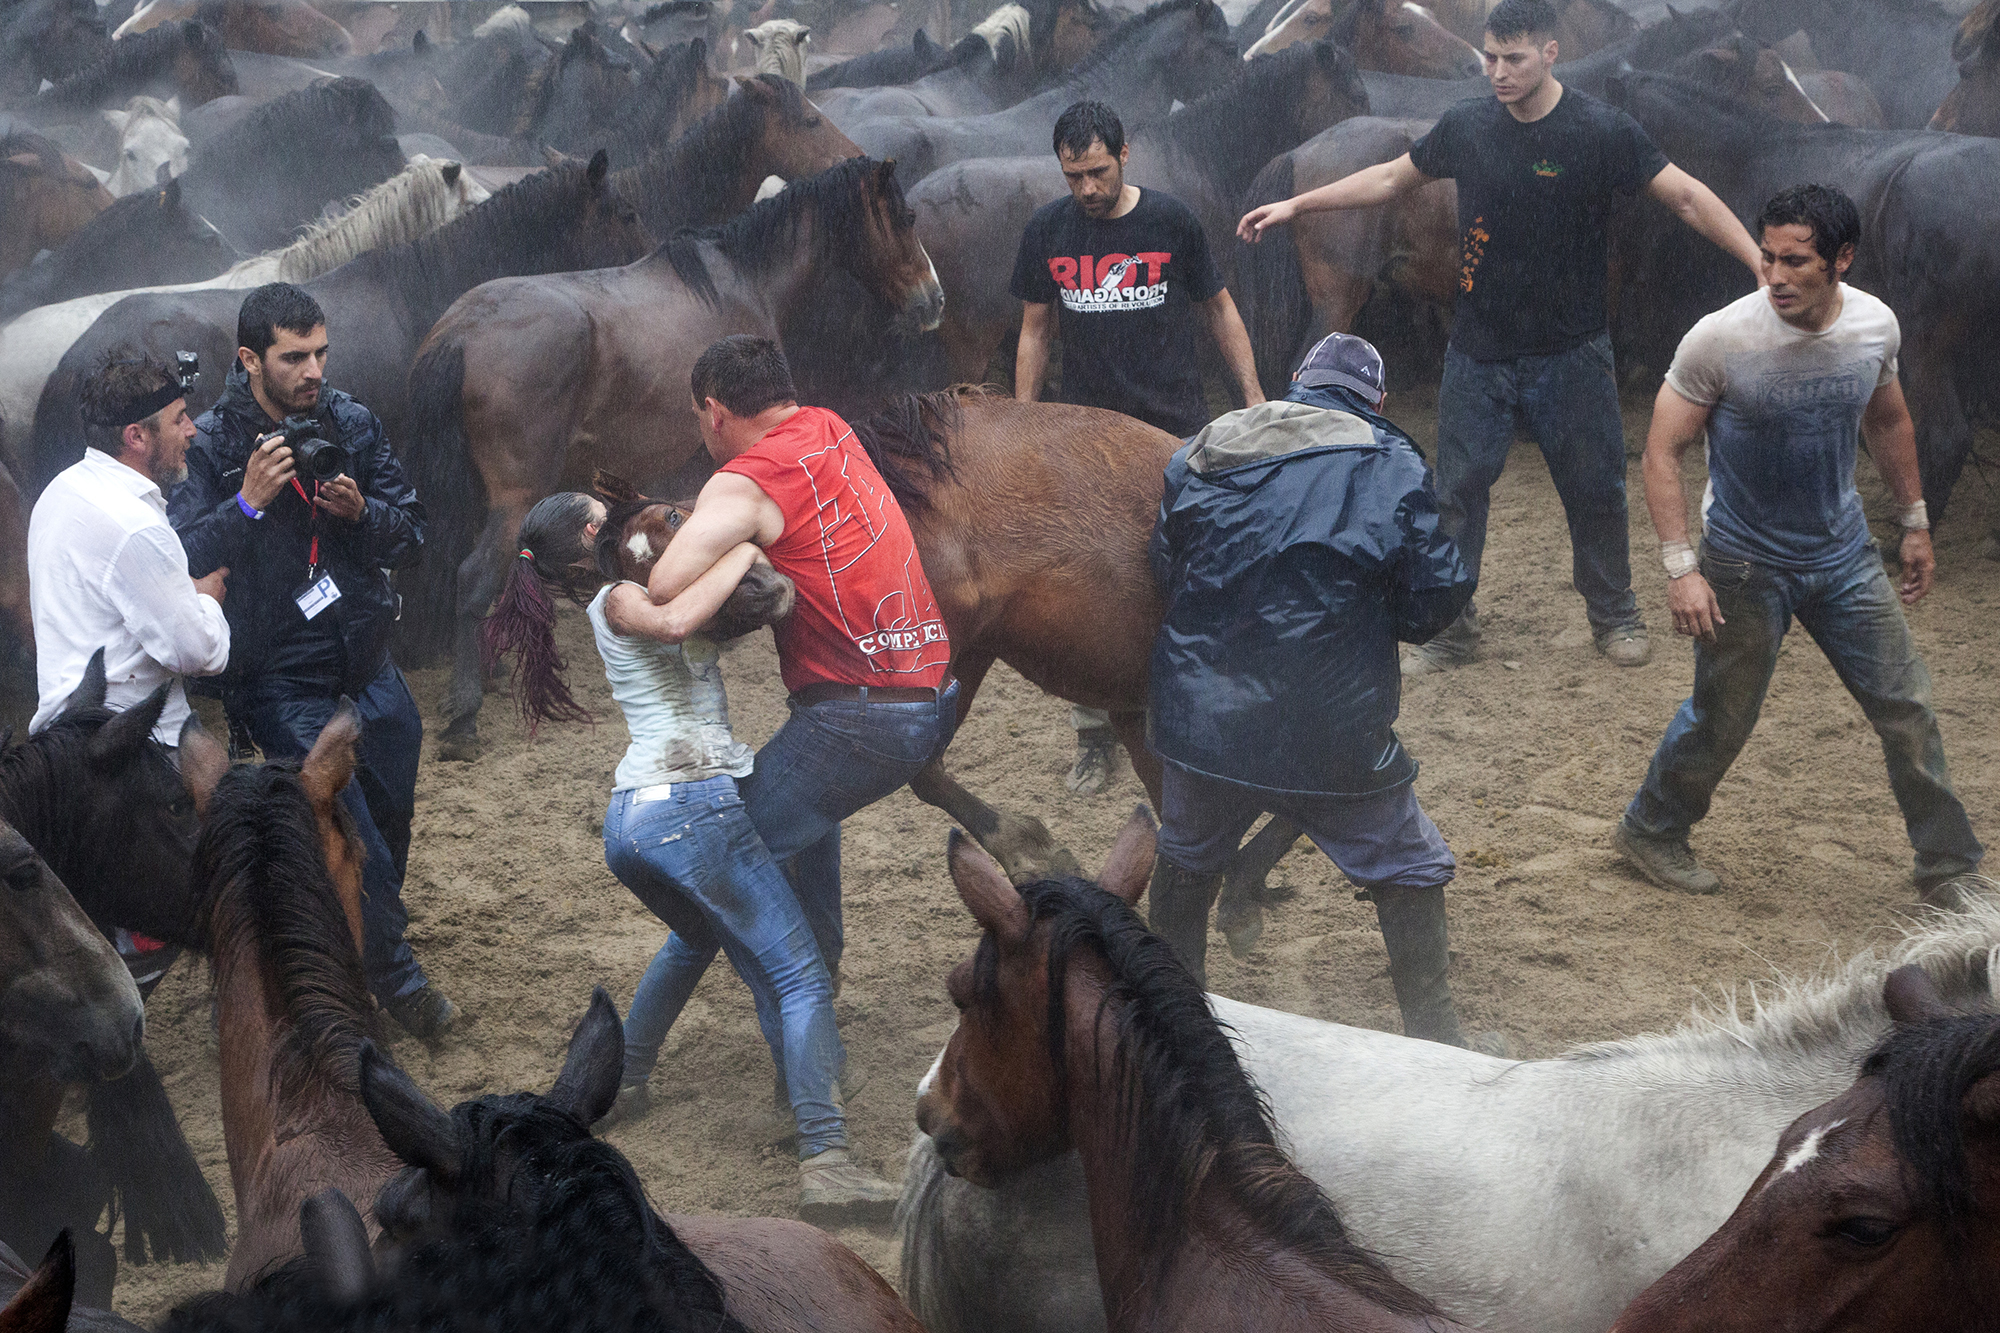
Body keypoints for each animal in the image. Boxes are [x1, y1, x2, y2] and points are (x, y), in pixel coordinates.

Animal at [402, 157, 944, 758]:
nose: (934, 300)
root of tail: (462, 331)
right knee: (475, 577)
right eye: (907, 217)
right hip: (514, 496)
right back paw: (464, 716)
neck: (742, 280)